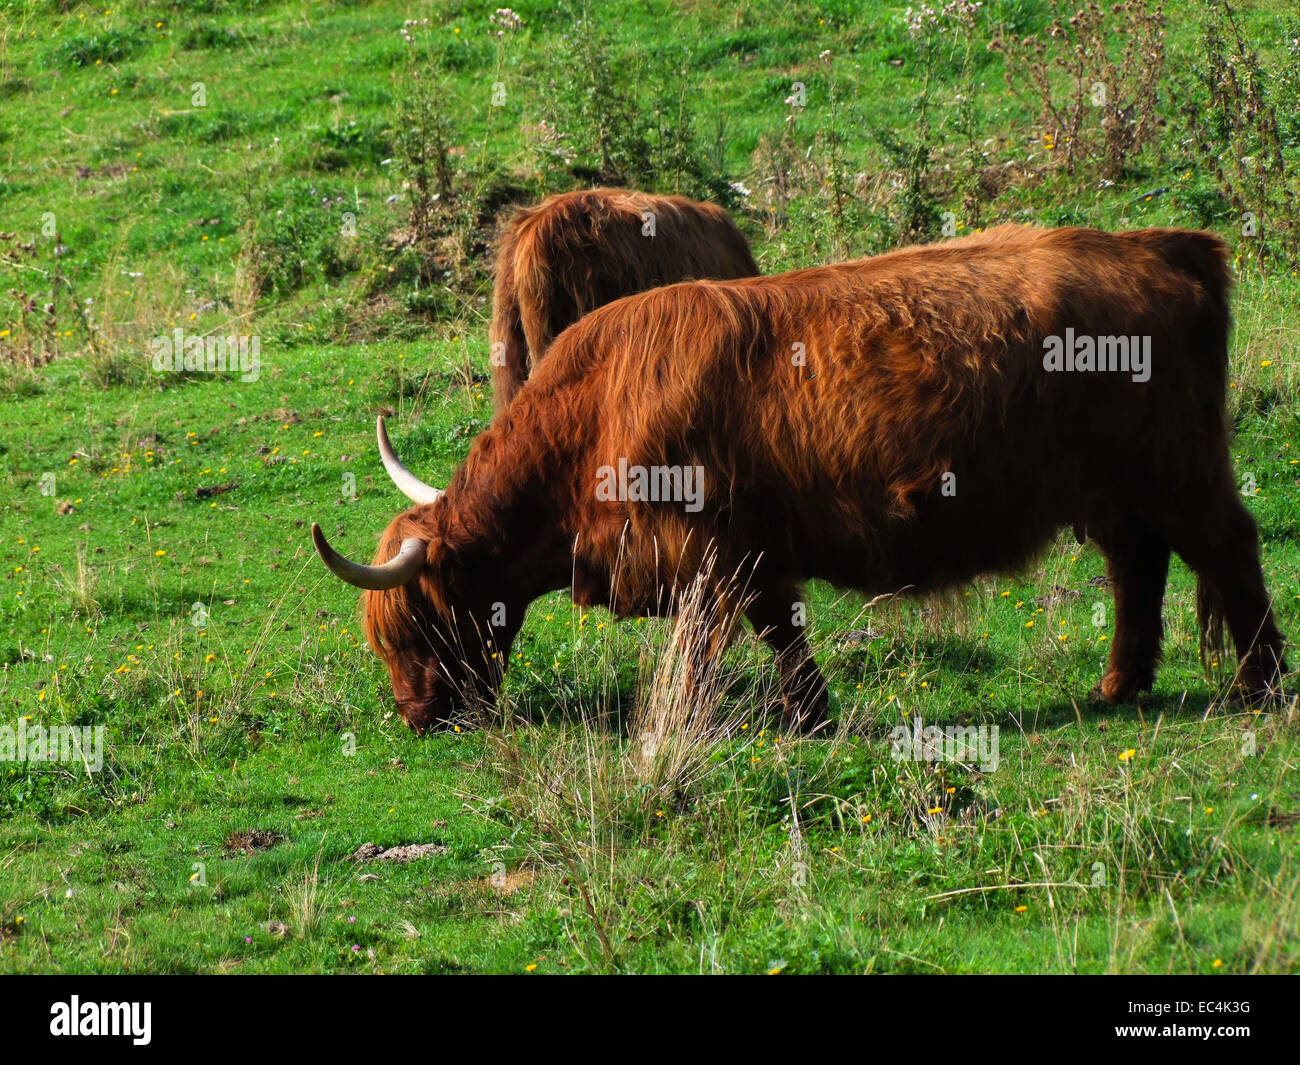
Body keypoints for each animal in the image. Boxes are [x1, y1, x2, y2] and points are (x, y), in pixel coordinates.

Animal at [314, 224, 1287, 735]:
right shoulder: (751, 549)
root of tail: (1158, 245)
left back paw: (1261, 685)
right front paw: (812, 716)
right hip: (1117, 490)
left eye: (421, 622)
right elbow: (781, 627)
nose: (418, 714)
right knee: (1138, 566)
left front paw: (687, 722)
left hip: (1177, 471)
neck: (589, 419)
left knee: (1228, 549)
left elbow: (708, 646)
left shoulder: (701, 546)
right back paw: (1121, 685)